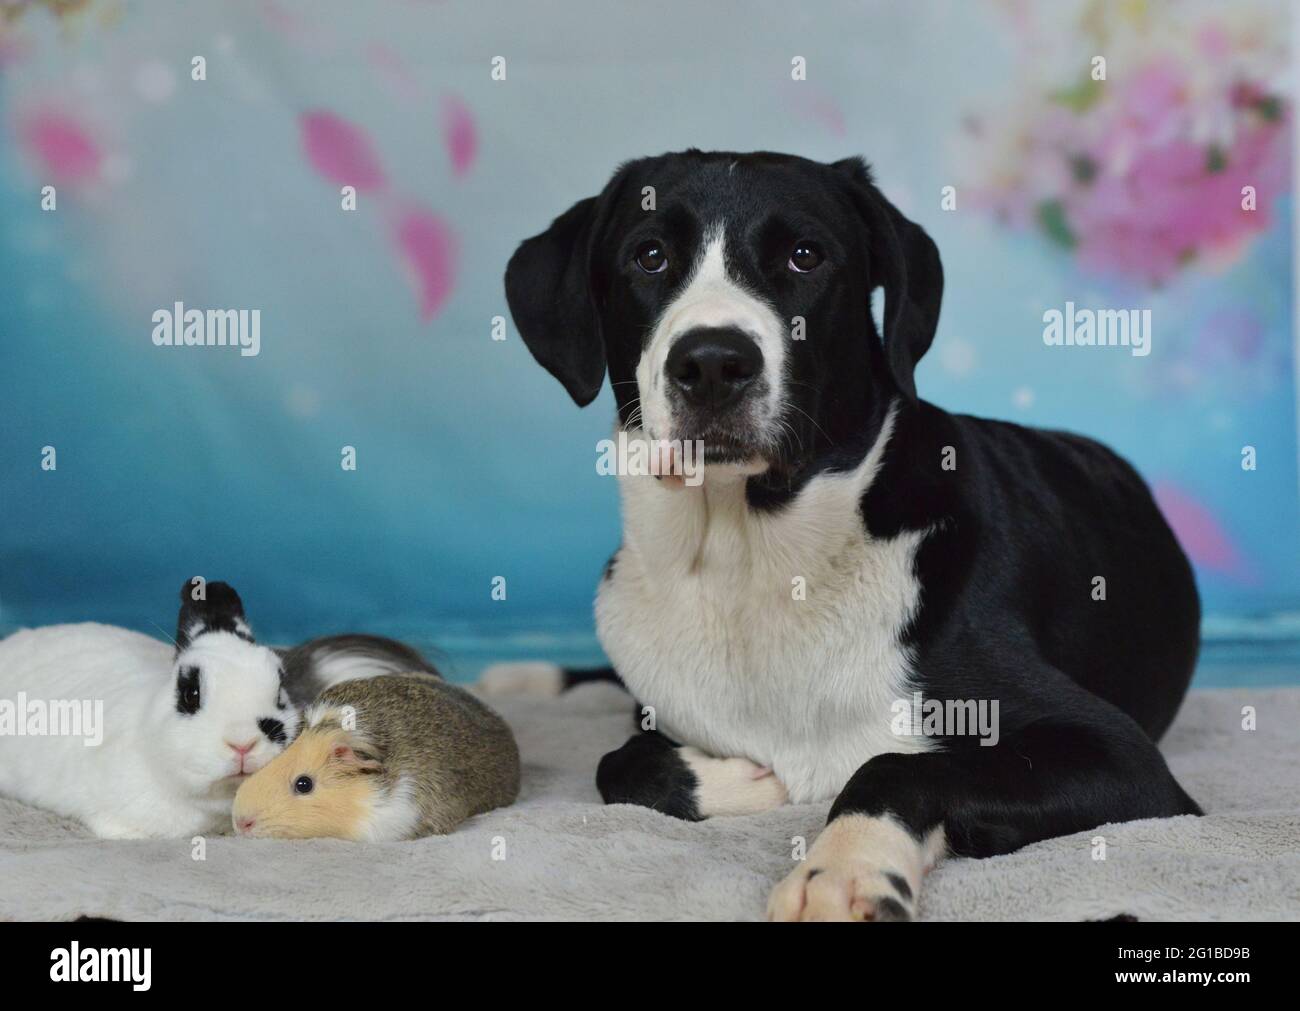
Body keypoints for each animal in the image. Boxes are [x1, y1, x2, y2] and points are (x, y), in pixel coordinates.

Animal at [493, 151, 1196, 920]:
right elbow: (615, 762)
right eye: (649, 255)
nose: (712, 363)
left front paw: (845, 866)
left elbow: (891, 765)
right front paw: (741, 778)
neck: (749, 561)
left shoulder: (1121, 757)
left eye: (805, 255)